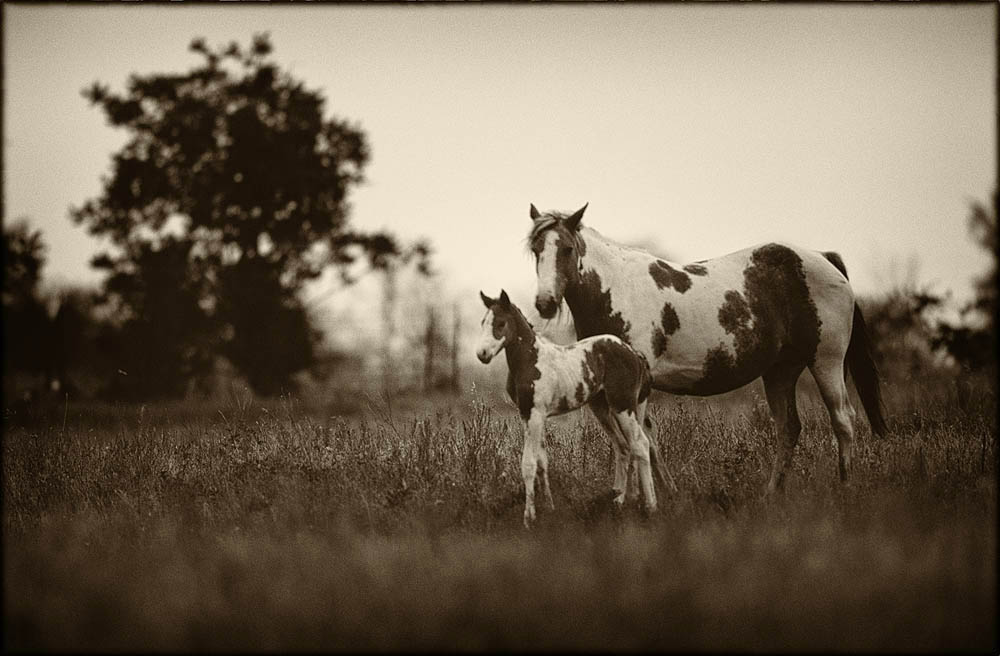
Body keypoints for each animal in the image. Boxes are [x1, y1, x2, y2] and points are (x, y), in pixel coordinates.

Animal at [474, 290, 656, 524]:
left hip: (622, 405)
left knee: (640, 445)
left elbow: (529, 463)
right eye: (482, 322)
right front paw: (549, 509)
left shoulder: (535, 414)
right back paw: (619, 502)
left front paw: (528, 518)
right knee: (623, 447)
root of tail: (634, 353)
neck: (531, 360)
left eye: (501, 323)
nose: (482, 354)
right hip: (603, 408)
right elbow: (542, 461)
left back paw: (650, 507)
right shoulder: (528, 415)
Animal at [528, 202, 888, 490]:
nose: (545, 303)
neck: (617, 290)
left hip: (826, 362)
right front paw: (662, 495)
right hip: (780, 371)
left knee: (843, 421)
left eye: (567, 249)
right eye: (536, 250)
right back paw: (771, 495)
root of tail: (826, 259)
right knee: (788, 429)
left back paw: (844, 489)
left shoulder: (632, 387)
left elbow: (638, 441)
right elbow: (642, 442)